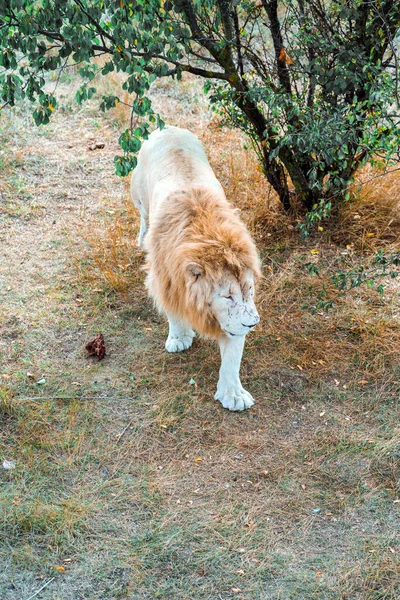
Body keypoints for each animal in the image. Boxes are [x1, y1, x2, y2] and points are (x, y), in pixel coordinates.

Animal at [131, 124, 260, 410]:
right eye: (227, 296)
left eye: (249, 291)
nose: (253, 324)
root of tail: (166, 128)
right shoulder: (167, 282)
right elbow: (175, 313)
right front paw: (179, 339)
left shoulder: (233, 321)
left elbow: (232, 359)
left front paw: (234, 395)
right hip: (137, 191)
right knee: (143, 215)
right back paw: (141, 239)